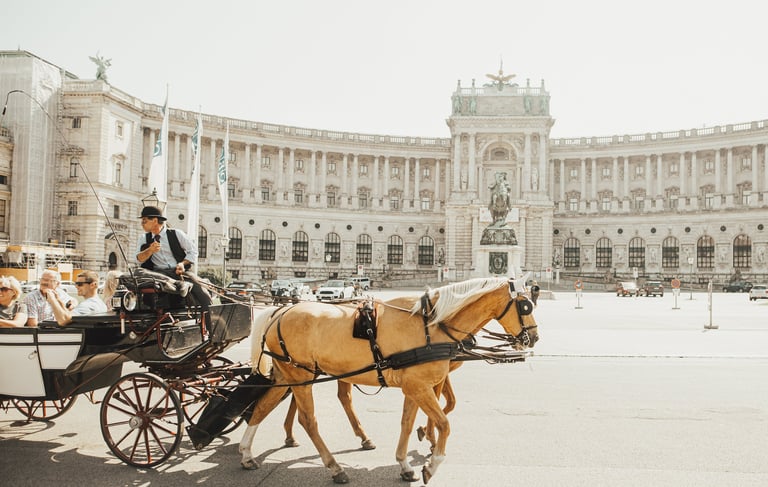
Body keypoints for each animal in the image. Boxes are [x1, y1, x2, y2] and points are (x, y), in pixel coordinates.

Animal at [239, 277, 539, 484]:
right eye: (525, 306)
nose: (534, 338)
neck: (431, 326)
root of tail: (279, 311)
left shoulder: (415, 387)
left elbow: (407, 423)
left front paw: (406, 464)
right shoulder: (420, 386)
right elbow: (444, 421)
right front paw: (432, 463)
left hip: (290, 374)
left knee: (263, 406)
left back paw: (247, 454)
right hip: (301, 374)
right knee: (308, 419)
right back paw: (335, 467)